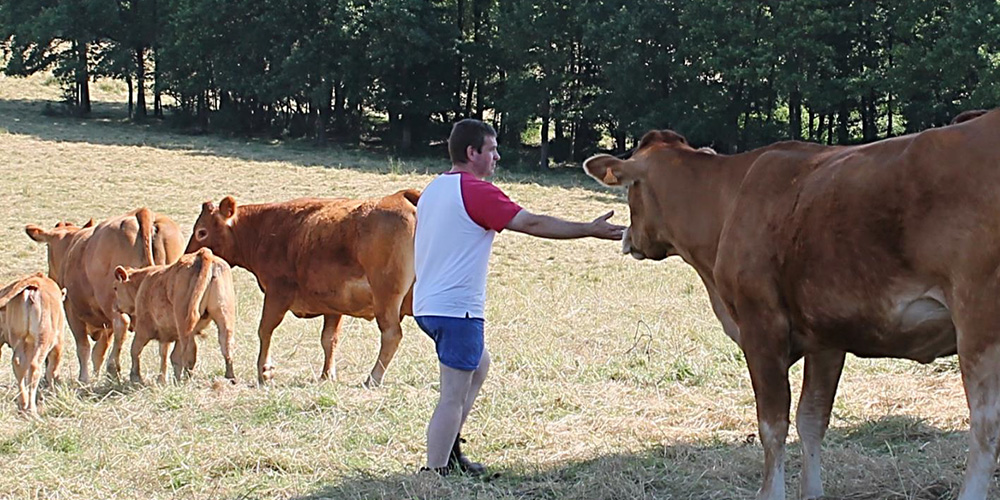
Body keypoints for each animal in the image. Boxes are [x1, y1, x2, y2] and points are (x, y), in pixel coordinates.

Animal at [0, 274, 64, 414]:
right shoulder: (58, 343)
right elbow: (52, 370)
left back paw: (23, 404)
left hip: (18, 338)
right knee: (35, 367)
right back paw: (32, 409)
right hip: (43, 340)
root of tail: (34, 282)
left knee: (19, 364)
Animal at [25, 207, 185, 382]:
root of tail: (141, 213)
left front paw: (85, 378)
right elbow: (99, 351)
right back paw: (161, 377)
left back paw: (115, 369)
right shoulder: (105, 323)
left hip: (111, 301)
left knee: (122, 324)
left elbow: (84, 347)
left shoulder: (72, 311)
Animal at [112, 248, 237, 384]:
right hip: (224, 315)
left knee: (189, 350)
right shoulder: (168, 333)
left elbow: (135, 350)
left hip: (185, 324)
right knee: (226, 344)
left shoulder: (143, 327)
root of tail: (203, 253)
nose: (115, 307)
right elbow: (168, 355)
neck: (144, 282)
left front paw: (136, 377)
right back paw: (230, 377)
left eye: (115, 288)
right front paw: (164, 379)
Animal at [186, 189, 420, 384]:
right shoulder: (333, 305)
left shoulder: (277, 293)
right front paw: (327, 375)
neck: (265, 229)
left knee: (391, 335)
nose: (187, 256)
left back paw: (373, 378)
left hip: (386, 296)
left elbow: (265, 330)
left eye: (201, 232)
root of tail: (404, 197)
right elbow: (329, 339)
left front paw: (264, 371)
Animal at [584, 109, 1000, 500]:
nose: (627, 238)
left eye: (629, 191)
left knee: (985, 427)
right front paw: (812, 491)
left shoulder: (760, 326)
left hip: (978, 322)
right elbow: (812, 419)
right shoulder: (827, 336)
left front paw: (772, 490)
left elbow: (773, 424)